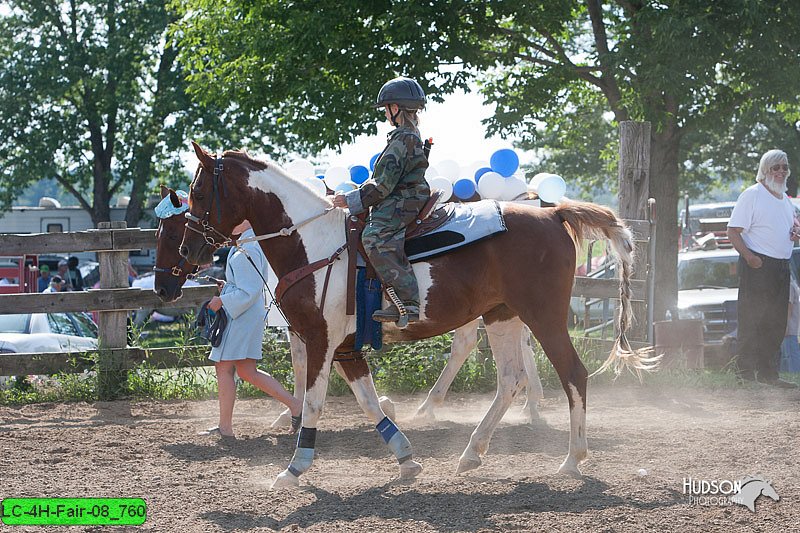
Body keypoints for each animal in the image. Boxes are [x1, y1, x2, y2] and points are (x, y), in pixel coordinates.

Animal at [152, 185, 544, 426]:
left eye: (170, 233)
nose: (161, 288)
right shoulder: (308, 327)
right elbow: (306, 364)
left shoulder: (315, 325)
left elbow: (305, 364)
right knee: (506, 345)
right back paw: (529, 406)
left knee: (475, 345)